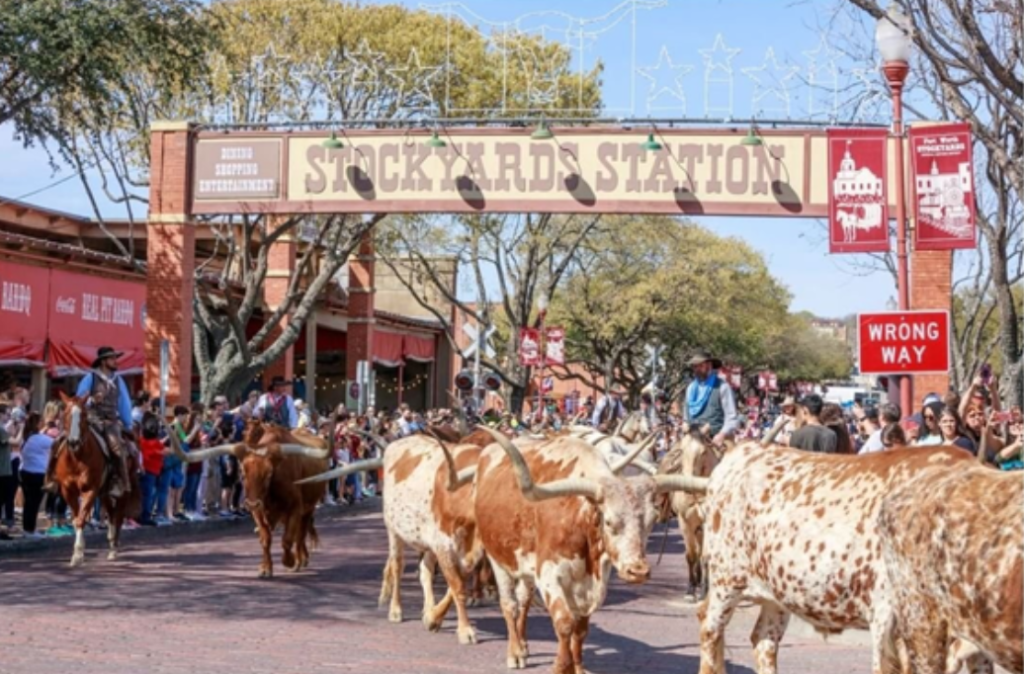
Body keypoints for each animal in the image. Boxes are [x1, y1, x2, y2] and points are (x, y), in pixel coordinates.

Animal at [54, 391, 141, 565]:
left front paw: (78, 554)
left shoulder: (90, 490)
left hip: (122, 491)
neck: (77, 458)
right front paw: (78, 554)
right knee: (111, 514)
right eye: (65, 414)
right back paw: (111, 543)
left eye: (83, 415)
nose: (73, 442)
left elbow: (81, 519)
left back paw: (114, 547)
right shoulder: (68, 491)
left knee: (118, 516)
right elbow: (76, 518)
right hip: (105, 492)